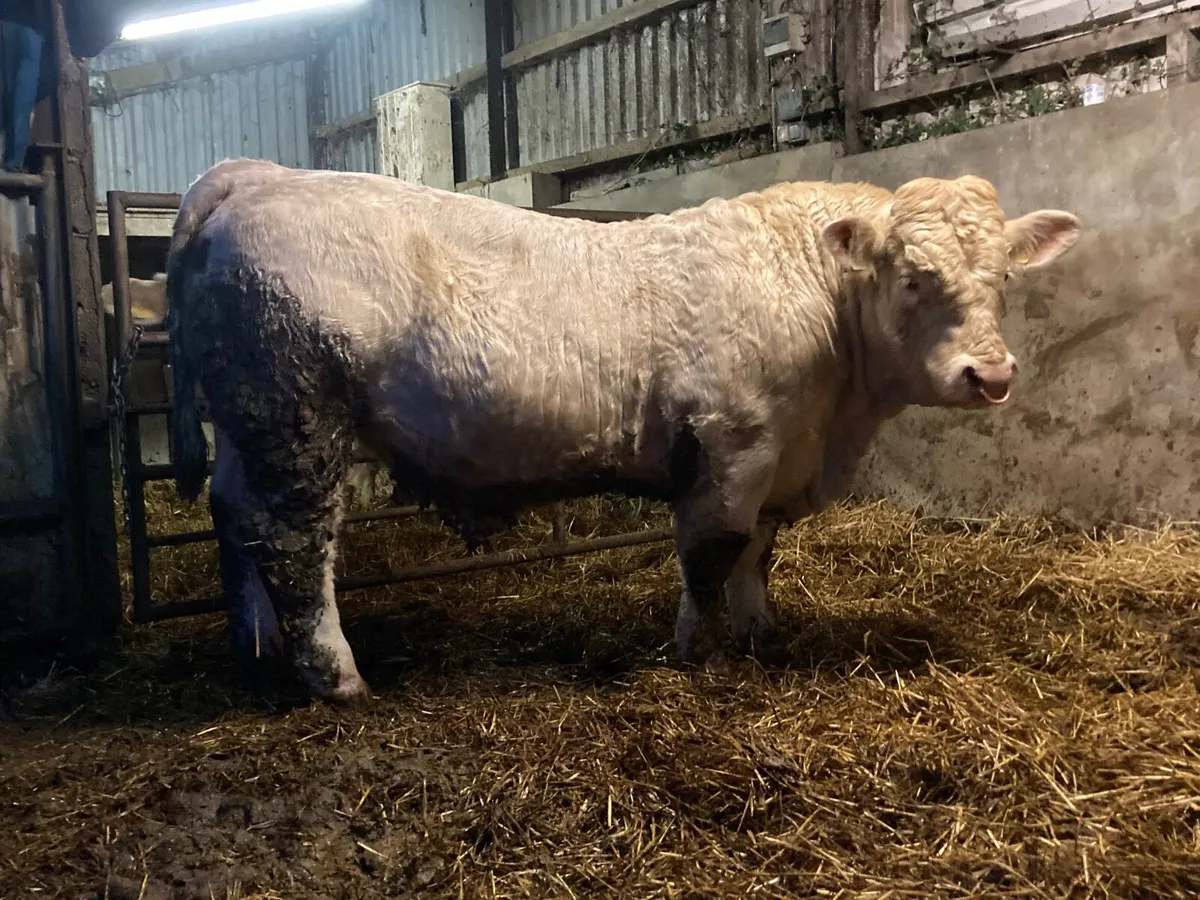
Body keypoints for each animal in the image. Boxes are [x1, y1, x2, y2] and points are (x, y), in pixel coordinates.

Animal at [165, 158, 1080, 706]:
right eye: (915, 276)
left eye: (1003, 277)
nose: (991, 376)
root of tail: (256, 175)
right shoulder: (731, 441)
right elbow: (713, 552)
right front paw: (694, 652)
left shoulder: (779, 453)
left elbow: (758, 553)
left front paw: (759, 633)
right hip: (296, 412)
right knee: (291, 539)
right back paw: (336, 675)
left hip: (249, 423)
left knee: (233, 513)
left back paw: (256, 645)